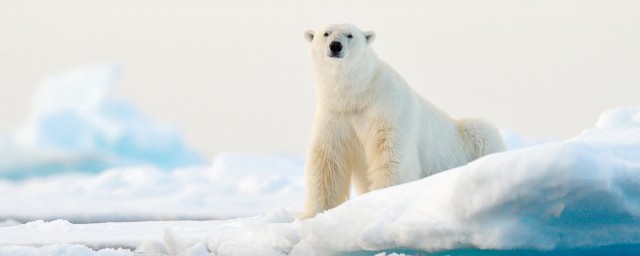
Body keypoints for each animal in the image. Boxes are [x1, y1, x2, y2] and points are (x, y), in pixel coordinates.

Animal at [300, 24, 504, 219]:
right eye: (326, 33)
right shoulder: (335, 115)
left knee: (482, 131)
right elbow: (327, 161)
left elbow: (390, 152)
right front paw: (312, 214)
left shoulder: (387, 107)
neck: (357, 94)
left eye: (350, 35)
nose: (335, 46)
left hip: (469, 138)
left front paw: (383, 197)